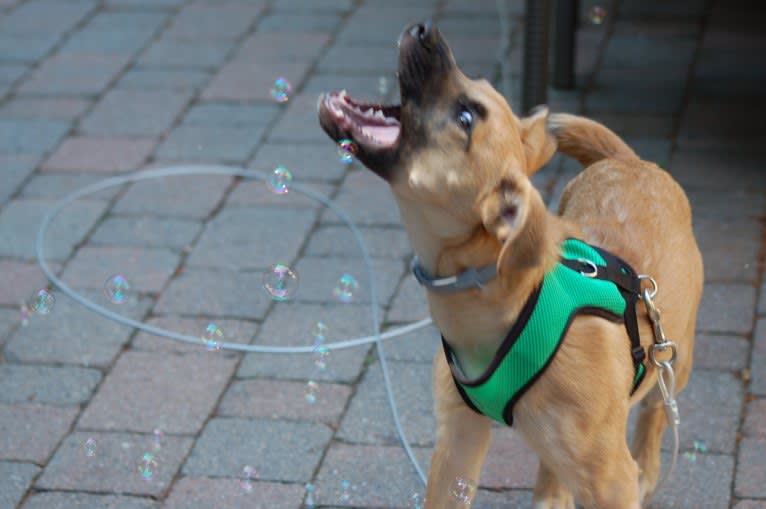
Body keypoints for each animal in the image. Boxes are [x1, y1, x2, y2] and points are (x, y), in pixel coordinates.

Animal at [316, 20, 704, 508]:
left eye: (466, 118)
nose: (426, 29)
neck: (509, 309)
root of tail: (628, 161)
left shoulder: (610, 478)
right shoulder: (457, 441)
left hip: (674, 356)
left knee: (656, 409)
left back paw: (648, 467)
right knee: (555, 470)